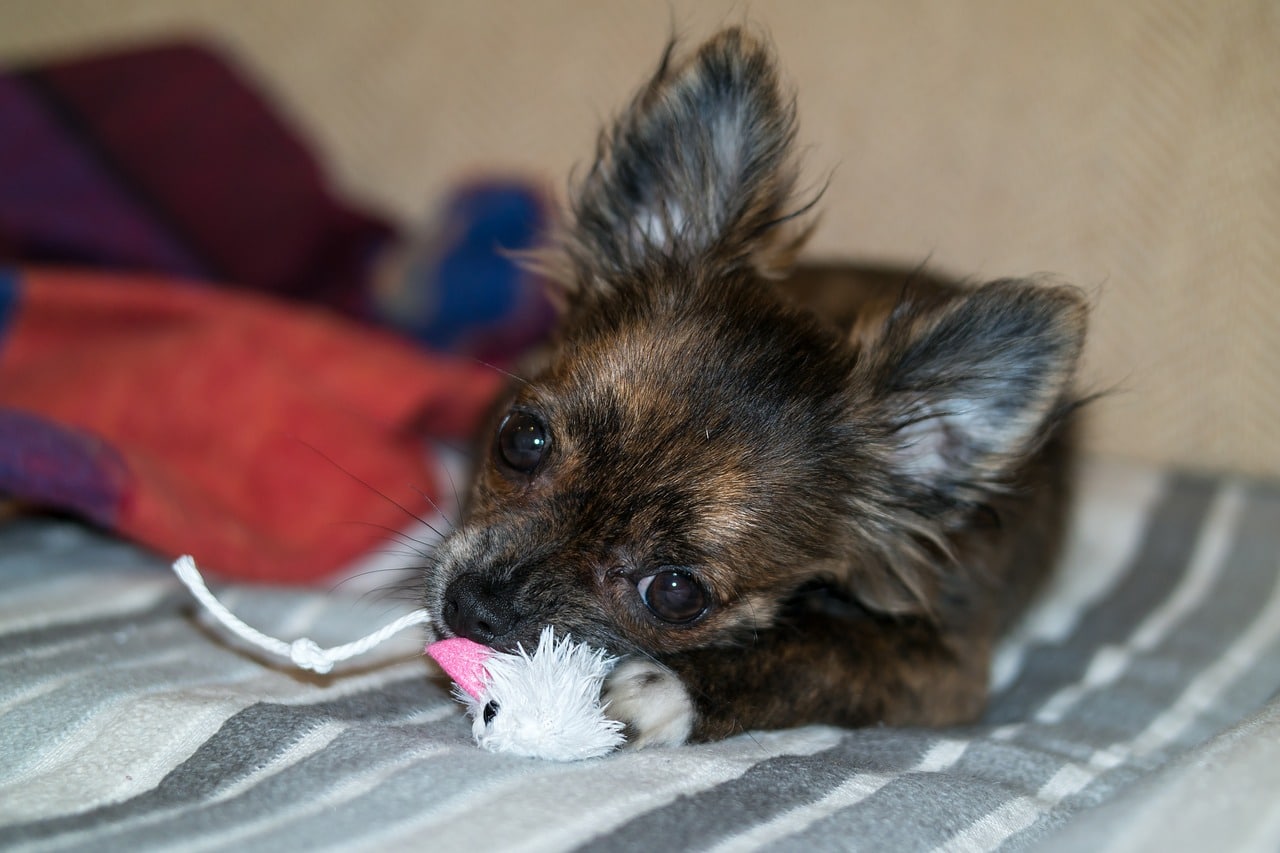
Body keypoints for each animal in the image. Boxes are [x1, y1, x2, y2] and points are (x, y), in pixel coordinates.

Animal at [424, 26, 1085, 742]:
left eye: (676, 593)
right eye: (521, 440)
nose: (474, 607)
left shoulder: (939, 663)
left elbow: (823, 650)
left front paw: (659, 690)